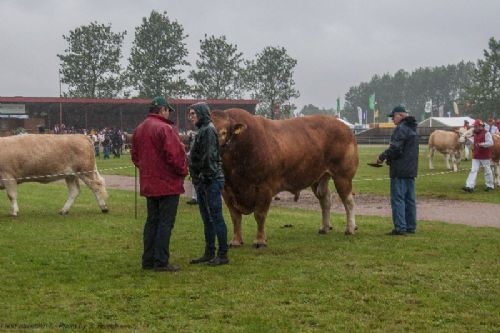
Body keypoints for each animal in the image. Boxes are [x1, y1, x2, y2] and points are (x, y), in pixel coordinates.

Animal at [211, 109, 360, 246]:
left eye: (223, 132)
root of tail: (345, 127)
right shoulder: (227, 189)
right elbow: (235, 217)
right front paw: (236, 241)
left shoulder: (265, 187)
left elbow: (259, 214)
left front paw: (260, 240)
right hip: (319, 177)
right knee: (325, 200)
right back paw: (324, 228)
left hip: (343, 176)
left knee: (349, 202)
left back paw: (350, 228)